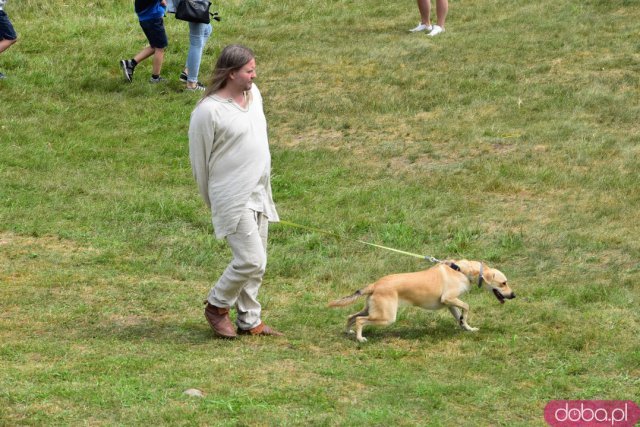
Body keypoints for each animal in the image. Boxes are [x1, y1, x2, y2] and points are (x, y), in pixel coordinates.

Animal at [330, 260, 516, 342]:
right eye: (503, 283)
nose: (513, 295)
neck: (463, 271)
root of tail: (375, 284)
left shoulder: (449, 304)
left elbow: (460, 316)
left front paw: (467, 327)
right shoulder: (449, 298)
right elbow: (467, 306)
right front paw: (465, 320)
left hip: (372, 309)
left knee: (351, 316)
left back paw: (348, 332)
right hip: (386, 317)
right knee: (360, 320)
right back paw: (360, 338)